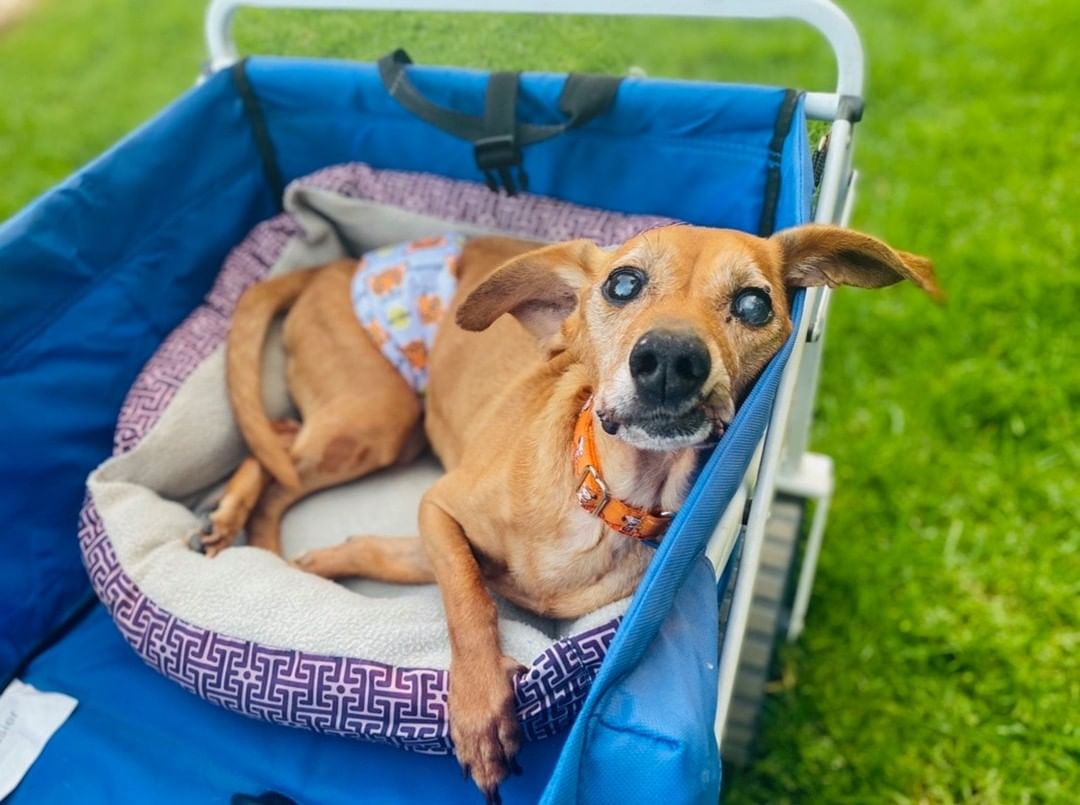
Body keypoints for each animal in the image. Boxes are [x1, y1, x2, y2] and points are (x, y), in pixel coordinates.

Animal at [203, 224, 937, 799]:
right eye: (622, 284)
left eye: (755, 304)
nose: (670, 359)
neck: (608, 500)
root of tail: (339, 264)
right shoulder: (439, 509)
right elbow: (469, 601)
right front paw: (480, 712)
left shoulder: (422, 536)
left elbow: (390, 557)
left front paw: (318, 564)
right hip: (374, 417)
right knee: (278, 453)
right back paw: (238, 524)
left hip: (384, 425)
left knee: (275, 436)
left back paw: (244, 528)